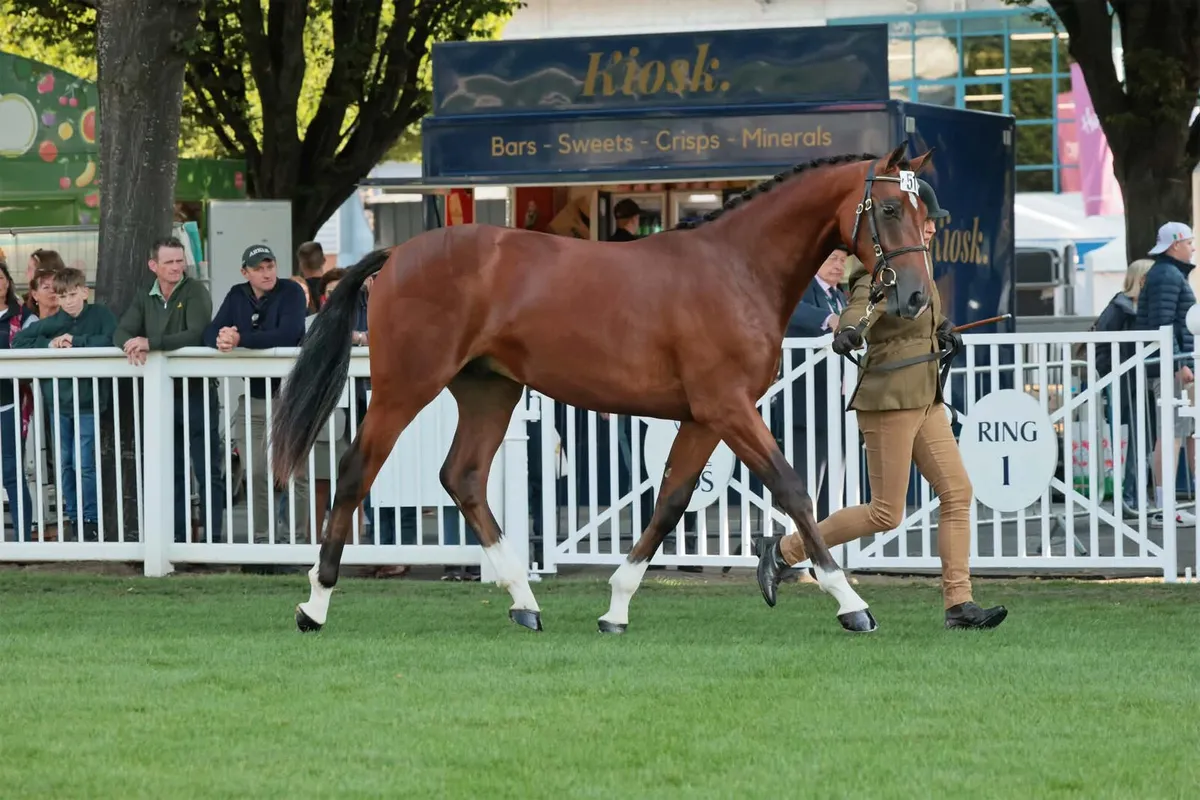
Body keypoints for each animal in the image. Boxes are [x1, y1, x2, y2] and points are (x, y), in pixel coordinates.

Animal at [270, 141, 936, 636]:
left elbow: (670, 501)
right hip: (405, 386)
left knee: (463, 477)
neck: (736, 269)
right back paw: (314, 604)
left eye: (927, 215)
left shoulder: (703, 416)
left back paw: (524, 601)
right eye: (890, 209)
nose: (914, 297)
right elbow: (793, 488)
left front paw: (616, 606)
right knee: (357, 471)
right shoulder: (729, 408)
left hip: (489, 391)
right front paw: (850, 602)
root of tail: (398, 253)